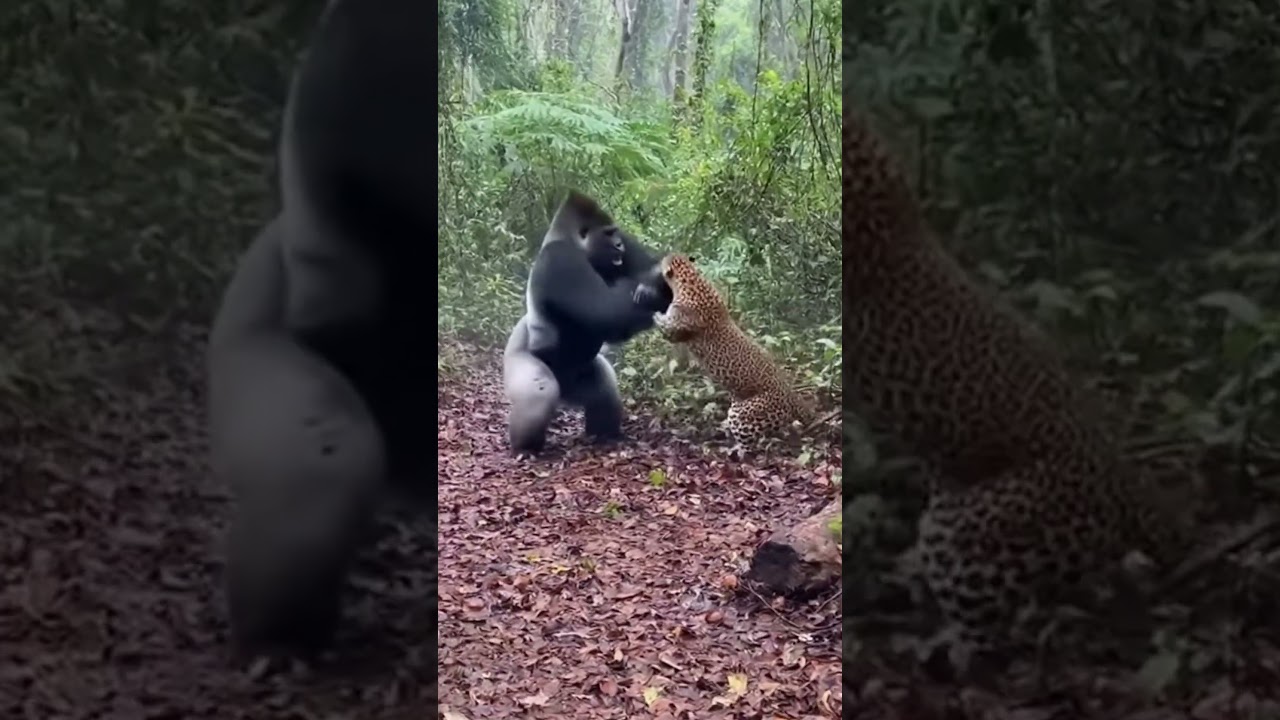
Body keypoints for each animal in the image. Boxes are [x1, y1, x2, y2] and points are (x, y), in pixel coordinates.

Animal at [652, 252, 816, 446]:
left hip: (743, 414)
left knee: (750, 443)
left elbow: (664, 325)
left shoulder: (675, 329)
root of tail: (792, 396)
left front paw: (653, 313)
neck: (692, 280)